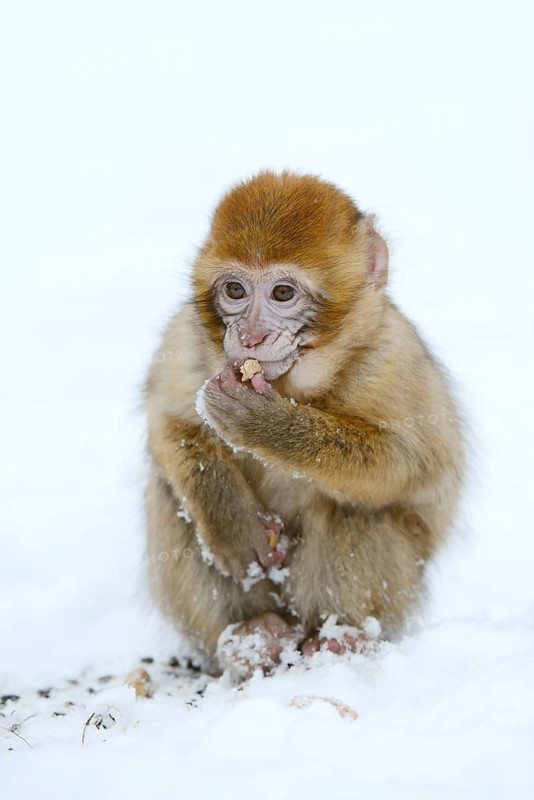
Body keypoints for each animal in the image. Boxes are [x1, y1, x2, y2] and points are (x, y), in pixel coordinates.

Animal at [144, 171, 465, 678]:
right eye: (235, 290)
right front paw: (233, 525)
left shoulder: (393, 359)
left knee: (357, 508)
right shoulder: (187, 338)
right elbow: (167, 419)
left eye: (282, 293)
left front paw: (266, 424)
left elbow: (414, 465)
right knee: (169, 492)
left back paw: (340, 639)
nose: (250, 337)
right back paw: (253, 636)